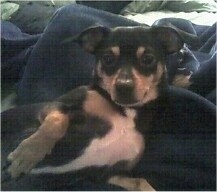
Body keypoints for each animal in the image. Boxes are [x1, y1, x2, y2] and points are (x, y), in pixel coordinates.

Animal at [1, 24, 185, 190]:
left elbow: (141, 182)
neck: (126, 112)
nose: (123, 86)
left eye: (148, 59)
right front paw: (27, 154)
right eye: (107, 59)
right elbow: (56, 121)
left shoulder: (108, 174)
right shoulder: (55, 104)